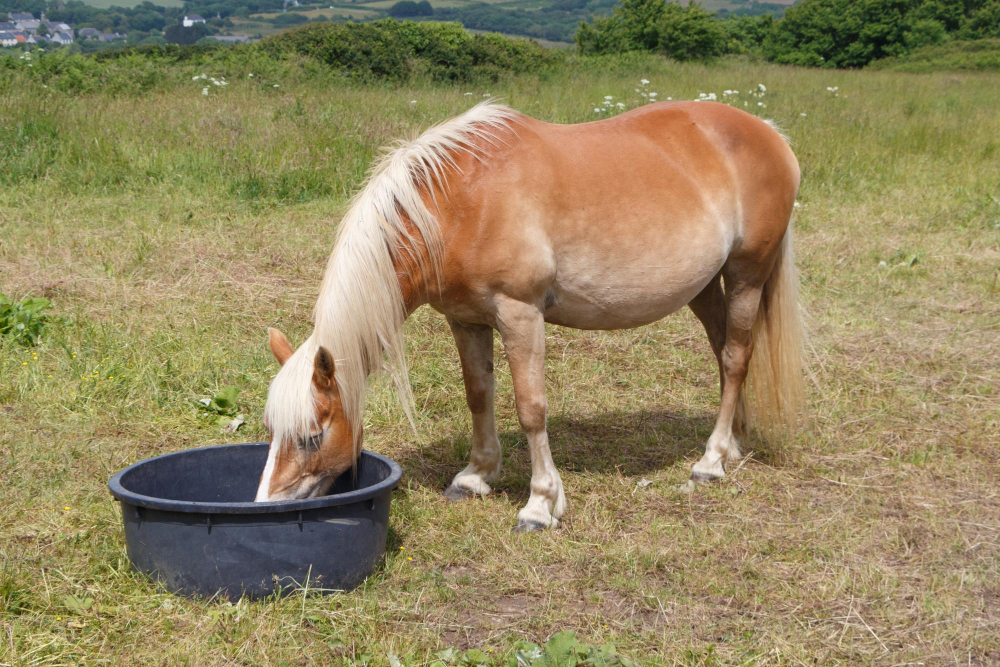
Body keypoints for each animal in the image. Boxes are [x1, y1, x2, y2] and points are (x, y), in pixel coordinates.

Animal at [256, 100, 804, 532]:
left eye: (312, 436)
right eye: (271, 430)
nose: (267, 504)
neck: (458, 203)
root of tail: (769, 132)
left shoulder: (519, 315)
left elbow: (530, 407)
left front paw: (540, 505)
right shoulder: (466, 320)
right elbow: (479, 395)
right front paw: (475, 477)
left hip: (748, 274)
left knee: (736, 357)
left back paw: (711, 462)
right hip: (706, 286)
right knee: (726, 353)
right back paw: (732, 444)